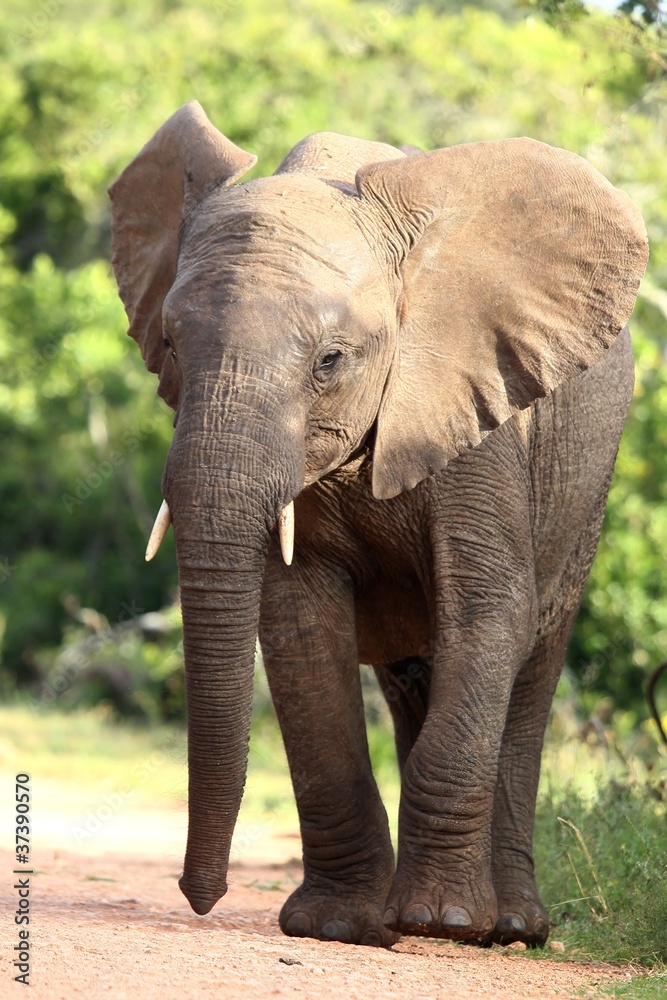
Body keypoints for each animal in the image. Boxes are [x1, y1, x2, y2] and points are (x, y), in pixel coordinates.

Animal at [108, 105, 648, 948]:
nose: (201, 897)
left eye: (331, 360)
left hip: (584, 486)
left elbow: (490, 611)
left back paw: (506, 926)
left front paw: (440, 922)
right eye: (168, 345)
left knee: (531, 662)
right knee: (412, 677)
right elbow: (298, 629)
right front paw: (335, 927)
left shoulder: (476, 410)